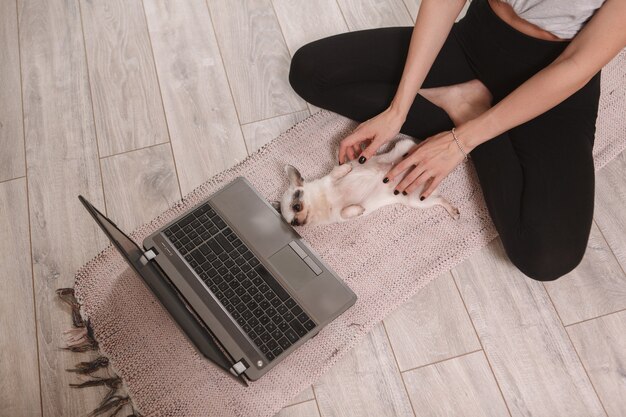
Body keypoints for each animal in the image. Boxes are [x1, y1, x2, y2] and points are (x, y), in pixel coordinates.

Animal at [272, 138, 458, 226]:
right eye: (292, 224)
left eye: (297, 207)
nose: (298, 223)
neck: (320, 205)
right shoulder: (339, 216)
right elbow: (345, 211)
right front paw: (359, 209)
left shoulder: (330, 179)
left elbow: (336, 172)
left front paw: (346, 168)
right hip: (417, 201)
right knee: (440, 200)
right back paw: (453, 211)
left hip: (403, 145)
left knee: (413, 147)